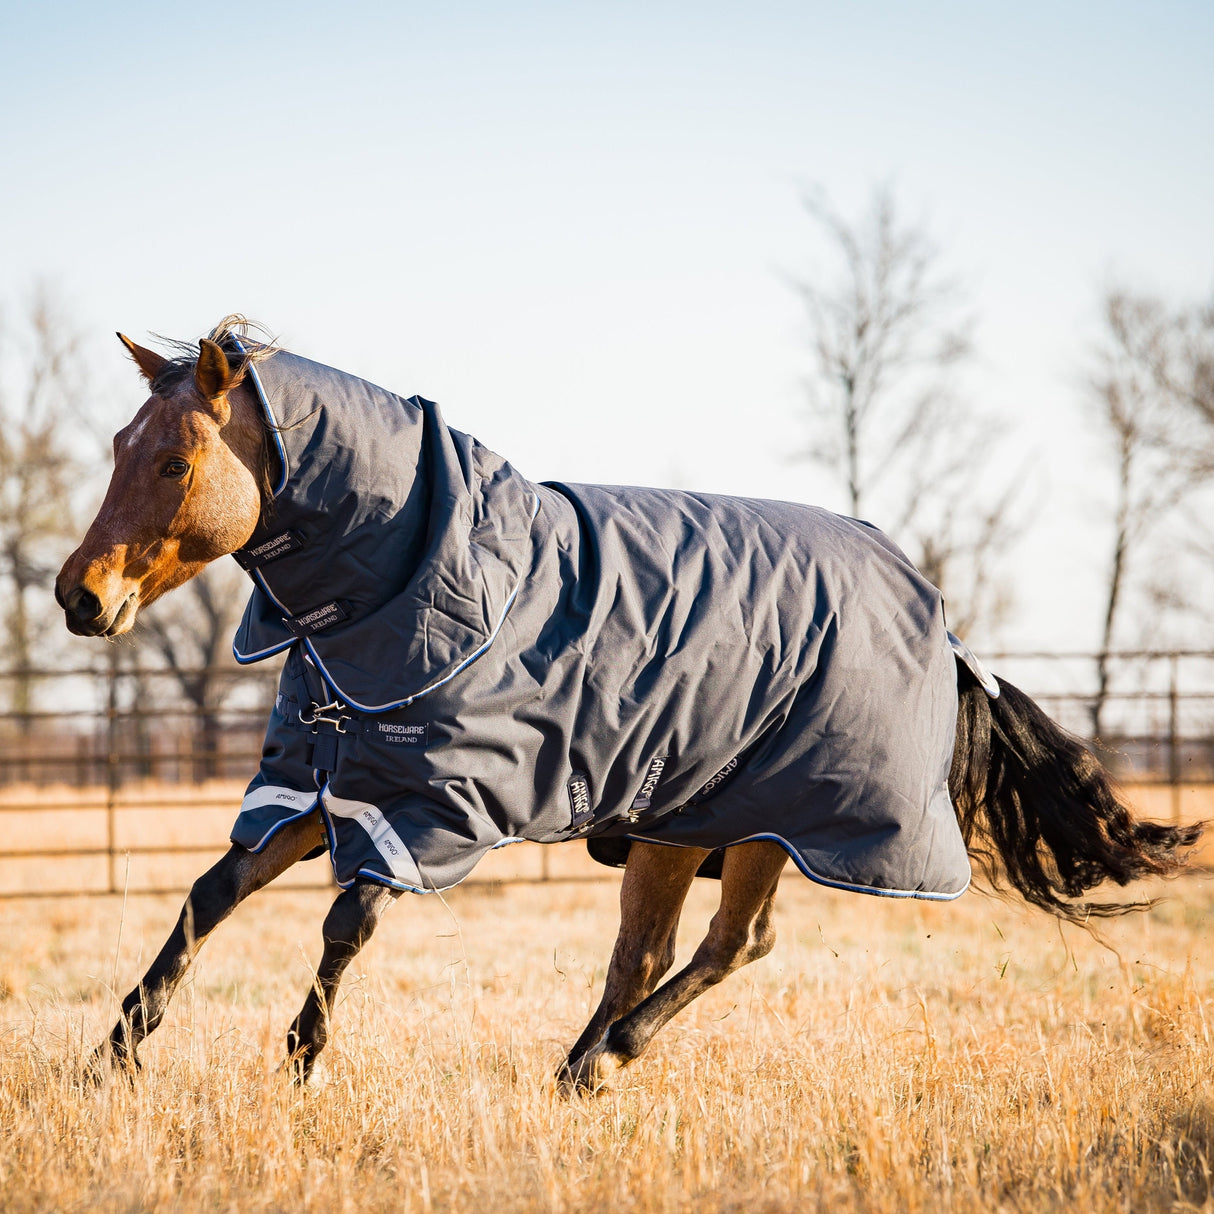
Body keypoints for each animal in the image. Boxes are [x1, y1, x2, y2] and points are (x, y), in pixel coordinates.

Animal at [54, 320, 1194, 1092]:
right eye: (116, 446)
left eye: (174, 459)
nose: (80, 596)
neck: (404, 587)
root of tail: (943, 628)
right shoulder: (319, 786)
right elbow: (212, 893)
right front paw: (115, 1051)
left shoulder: (430, 807)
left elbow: (350, 917)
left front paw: (300, 1061)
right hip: (671, 824)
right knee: (648, 952)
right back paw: (579, 1063)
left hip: (764, 821)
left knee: (734, 945)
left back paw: (603, 1061)